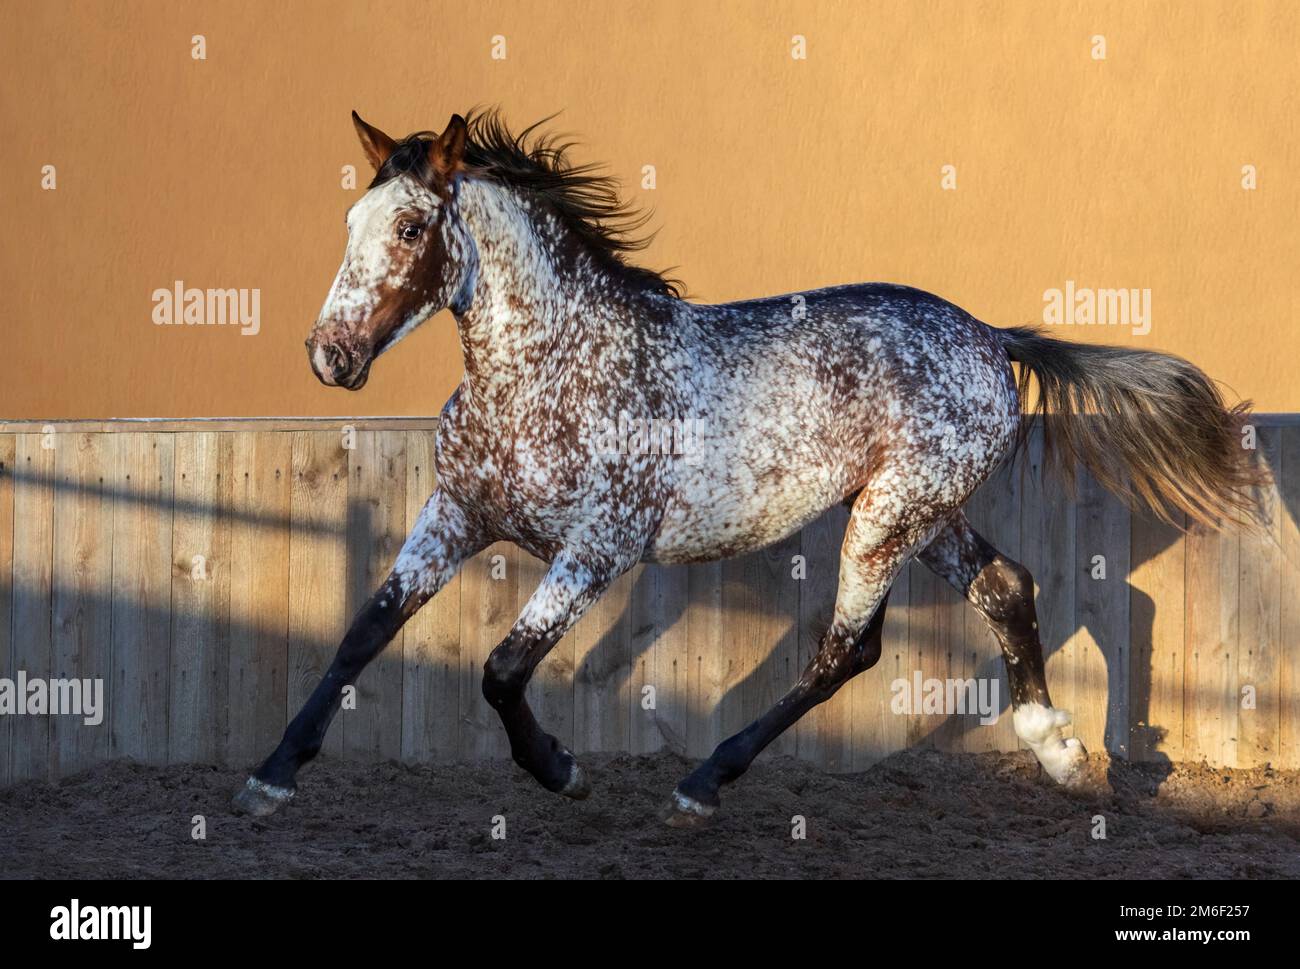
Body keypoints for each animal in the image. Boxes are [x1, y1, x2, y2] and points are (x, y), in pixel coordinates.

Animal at [231, 111, 1258, 822]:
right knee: (1005, 587)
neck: (548, 368)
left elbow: (502, 668)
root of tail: (990, 336)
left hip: (887, 515)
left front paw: (563, 770)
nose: (330, 357)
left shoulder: (599, 547)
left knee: (849, 648)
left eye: (410, 229)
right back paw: (1061, 755)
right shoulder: (455, 511)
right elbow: (365, 628)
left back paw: (702, 783)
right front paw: (271, 776)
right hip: (924, 514)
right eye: (352, 218)